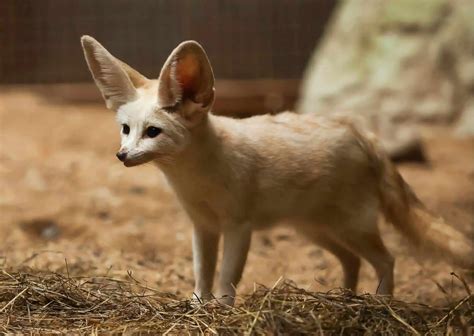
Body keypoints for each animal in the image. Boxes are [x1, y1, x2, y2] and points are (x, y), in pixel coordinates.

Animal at [82, 36, 474, 304]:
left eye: (153, 132)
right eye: (126, 129)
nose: (121, 155)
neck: (196, 179)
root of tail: (361, 132)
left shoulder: (238, 226)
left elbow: (226, 277)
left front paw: (223, 309)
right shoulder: (203, 226)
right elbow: (202, 273)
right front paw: (197, 304)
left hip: (351, 227)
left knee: (387, 260)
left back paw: (381, 303)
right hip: (317, 230)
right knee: (353, 261)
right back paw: (344, 299)